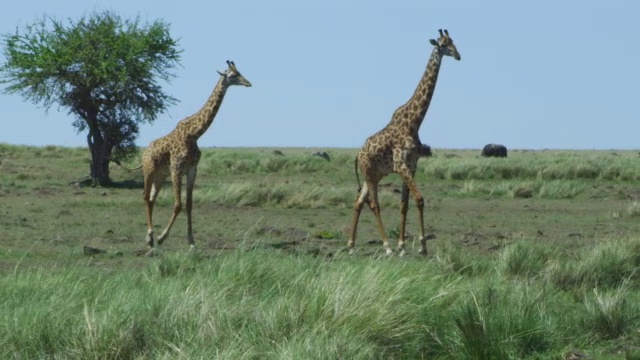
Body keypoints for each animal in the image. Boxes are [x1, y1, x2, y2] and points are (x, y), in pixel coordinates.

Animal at [142, 60, 250, 249]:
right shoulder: (176, 168)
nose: (248, 83)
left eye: (240, 72)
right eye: (231, 75)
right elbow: (178, 205)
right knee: (146, 197)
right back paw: (150, 238)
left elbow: (189, 205)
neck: (194, 134)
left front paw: (191, 241)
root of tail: (145, 151)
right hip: (149, 171)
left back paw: (151, 238)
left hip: (160, 175)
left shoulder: (192, 169)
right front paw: (162, 237)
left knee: (151, 199)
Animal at [350, 29, 460, 258]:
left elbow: (404, 204)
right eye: (443, 44)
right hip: (369, 174)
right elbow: (419, 199)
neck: (414, 122)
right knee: (374, 204)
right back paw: (386, 247)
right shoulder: (401, 166)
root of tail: (358, 154)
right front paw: (420, 246)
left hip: (373, 175)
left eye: (454, 42)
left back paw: (351, 245)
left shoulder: (411, 166)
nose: (458, 55)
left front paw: (404, 246)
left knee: (359, 202)